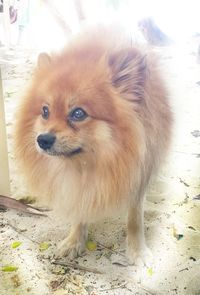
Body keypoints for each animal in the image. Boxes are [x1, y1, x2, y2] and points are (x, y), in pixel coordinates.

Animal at [14, 27, 172, 268]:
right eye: (45, 111)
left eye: (78, 113)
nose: (42, 139)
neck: (88, 166)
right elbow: (81, 207)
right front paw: (74, 240)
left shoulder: (138, 174)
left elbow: (134, 218)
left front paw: (138, 251)